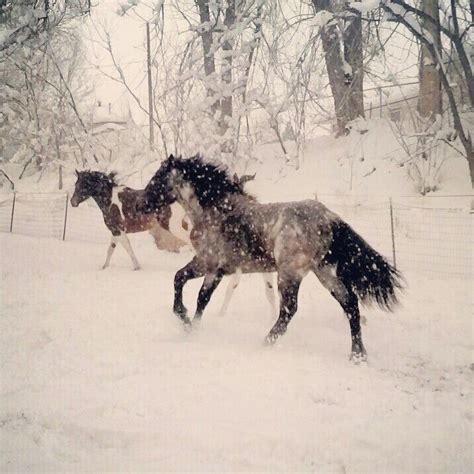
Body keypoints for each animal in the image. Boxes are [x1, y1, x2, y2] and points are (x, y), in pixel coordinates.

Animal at [139, 155, 402, 360]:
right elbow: (190, 288)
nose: (141, 204)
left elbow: (190, 289)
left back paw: (264, 343)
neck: (217, 212)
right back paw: (358, 355)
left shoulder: (209, 265)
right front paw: (187, 324)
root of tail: (329, 217)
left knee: (289, 310)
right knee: (350, 304)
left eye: (158, 177)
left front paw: (187, 323)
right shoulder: (210, 267)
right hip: (324, 272)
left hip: (290, 274)